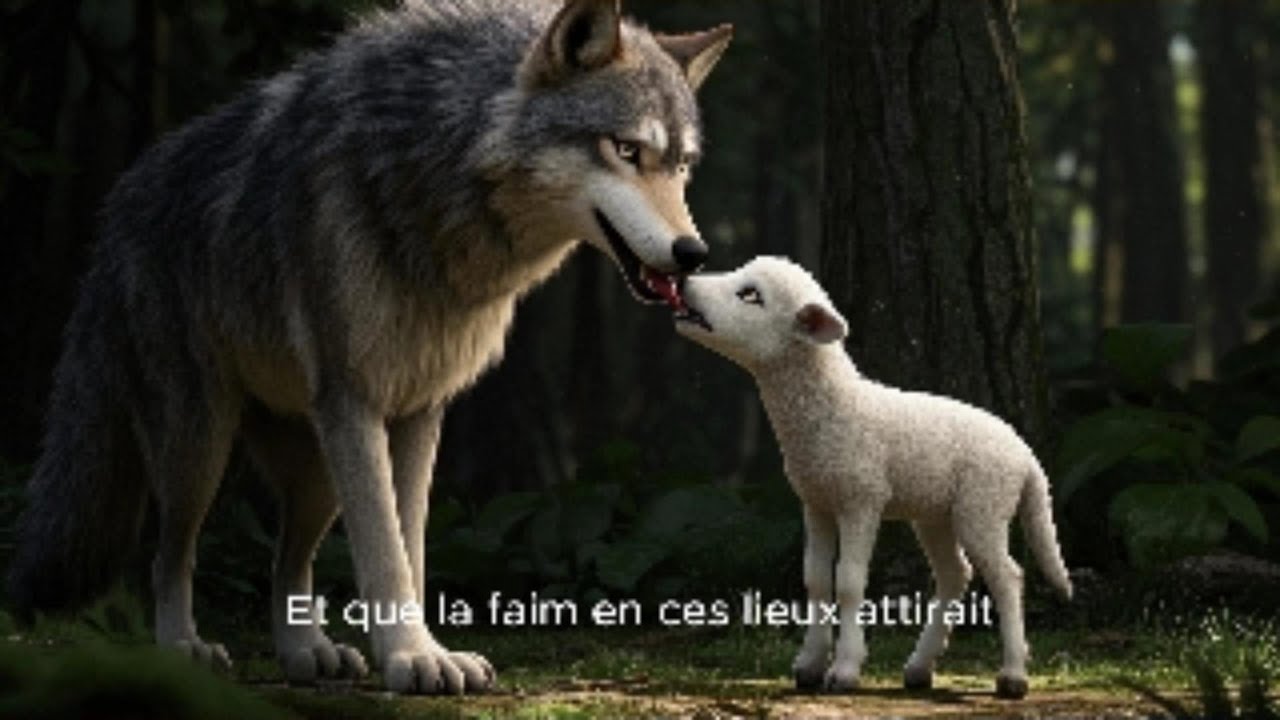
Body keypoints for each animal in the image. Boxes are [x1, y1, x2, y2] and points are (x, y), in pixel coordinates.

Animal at [8, 0, 731, 695]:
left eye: (681, 166)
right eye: (626, 150)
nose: (693, 253)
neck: (438, 168)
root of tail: (115, 215)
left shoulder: (418, 408)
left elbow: (409, 546)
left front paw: (424, 653)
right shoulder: (354, 400)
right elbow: (385, 551)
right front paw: (413, 659)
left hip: (315, 472)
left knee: (286, 559)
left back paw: (307, 655)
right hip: (201, 446)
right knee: (167, 555)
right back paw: (184, 648)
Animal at [672, 257, 1071, 699]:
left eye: (751, 295)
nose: (684, 281)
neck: (834, 405)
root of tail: (1027, 456)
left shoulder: (861, 499)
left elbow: (848, 580)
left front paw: (844, 670)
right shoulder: (817, 501)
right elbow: (815, 579)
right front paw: (809, 666)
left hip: (984, 505)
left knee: (1007, 577)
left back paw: (1013, 676)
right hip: (936, 514)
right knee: (955, 574)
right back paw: (919, 668)